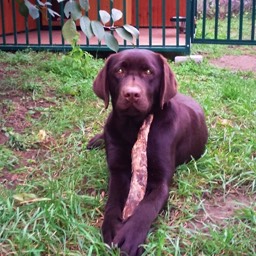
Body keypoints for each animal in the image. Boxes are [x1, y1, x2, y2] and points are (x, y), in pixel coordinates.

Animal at [88, 49, 208, 255]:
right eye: (119, 70)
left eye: (149, 72)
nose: (131, 94)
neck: (133, 127)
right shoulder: (117, 171)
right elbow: (112, 201)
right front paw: (110, 226)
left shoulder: (161, 181)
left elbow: (147, 206)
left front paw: (131, 235)